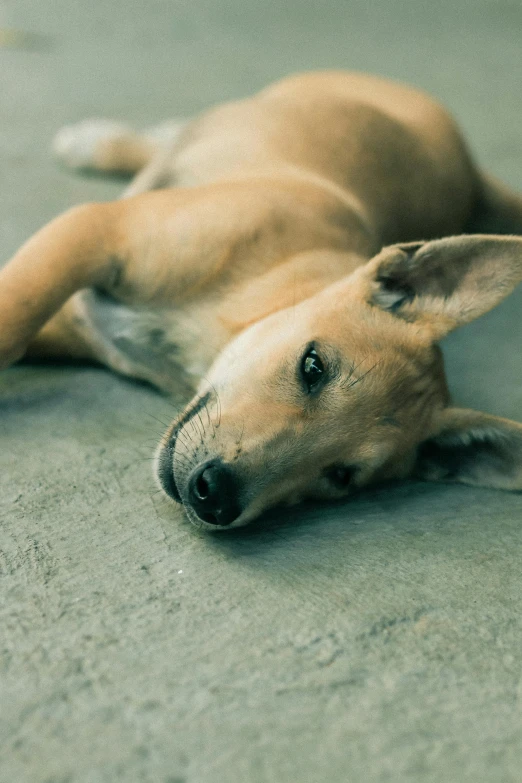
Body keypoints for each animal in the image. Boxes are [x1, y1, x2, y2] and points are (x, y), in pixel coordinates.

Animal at [3, 72, 520, 532]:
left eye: (340, 477)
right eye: (313, 367)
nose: (214, 496)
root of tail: (470, 171)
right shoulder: (97, 231)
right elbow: (15, 319)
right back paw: (100, 140)